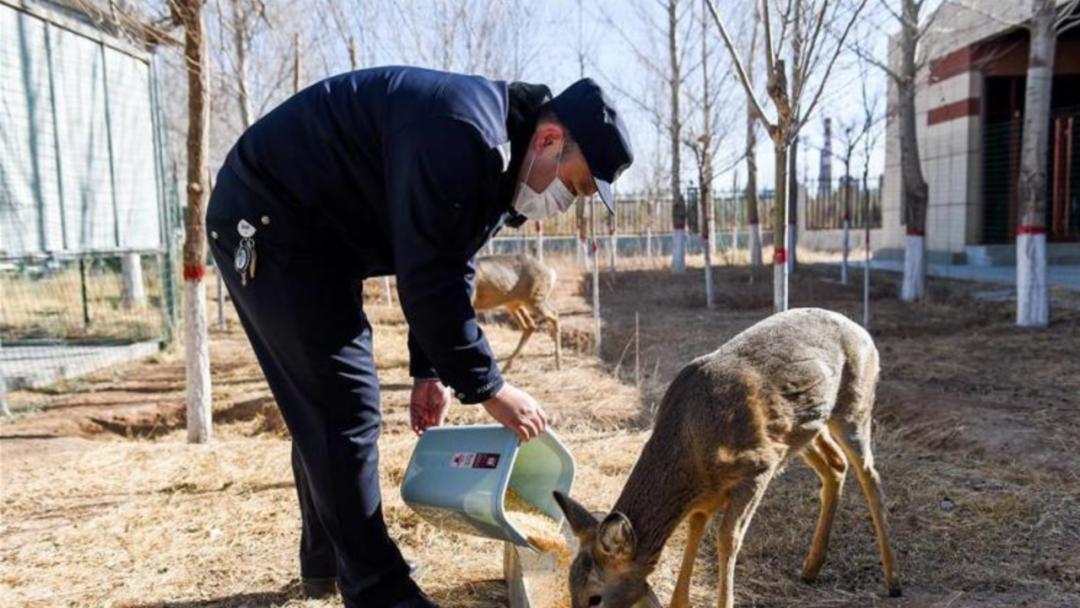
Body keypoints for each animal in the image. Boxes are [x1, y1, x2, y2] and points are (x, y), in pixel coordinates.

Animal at [552, 308, 898, 608]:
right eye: (569, 588)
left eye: (594, 598)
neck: (691, 444)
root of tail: (863, 332)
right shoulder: (708, 493)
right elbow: (695, 532)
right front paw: (679, 601)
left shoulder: (757, 467)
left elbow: (727, 538)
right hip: (803, 430)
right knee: (835, 465)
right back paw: (811, 567)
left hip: (854, 405)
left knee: (870, 474)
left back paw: (892, 579)